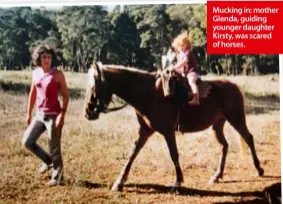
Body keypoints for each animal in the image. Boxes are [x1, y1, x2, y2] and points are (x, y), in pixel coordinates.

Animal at [84, 61, 264, 191]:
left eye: (93, 86)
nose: (87, 112)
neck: (148, 94)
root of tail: (234, 86)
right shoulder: (145, 131)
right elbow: (132, 154)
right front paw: (119, 182)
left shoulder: (168, 131)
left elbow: (174, 155)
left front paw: (178, 182)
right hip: (217, 125)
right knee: (224, 146)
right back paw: (217, 175)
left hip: (236, 119)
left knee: (249, 138)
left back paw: (259, 169)